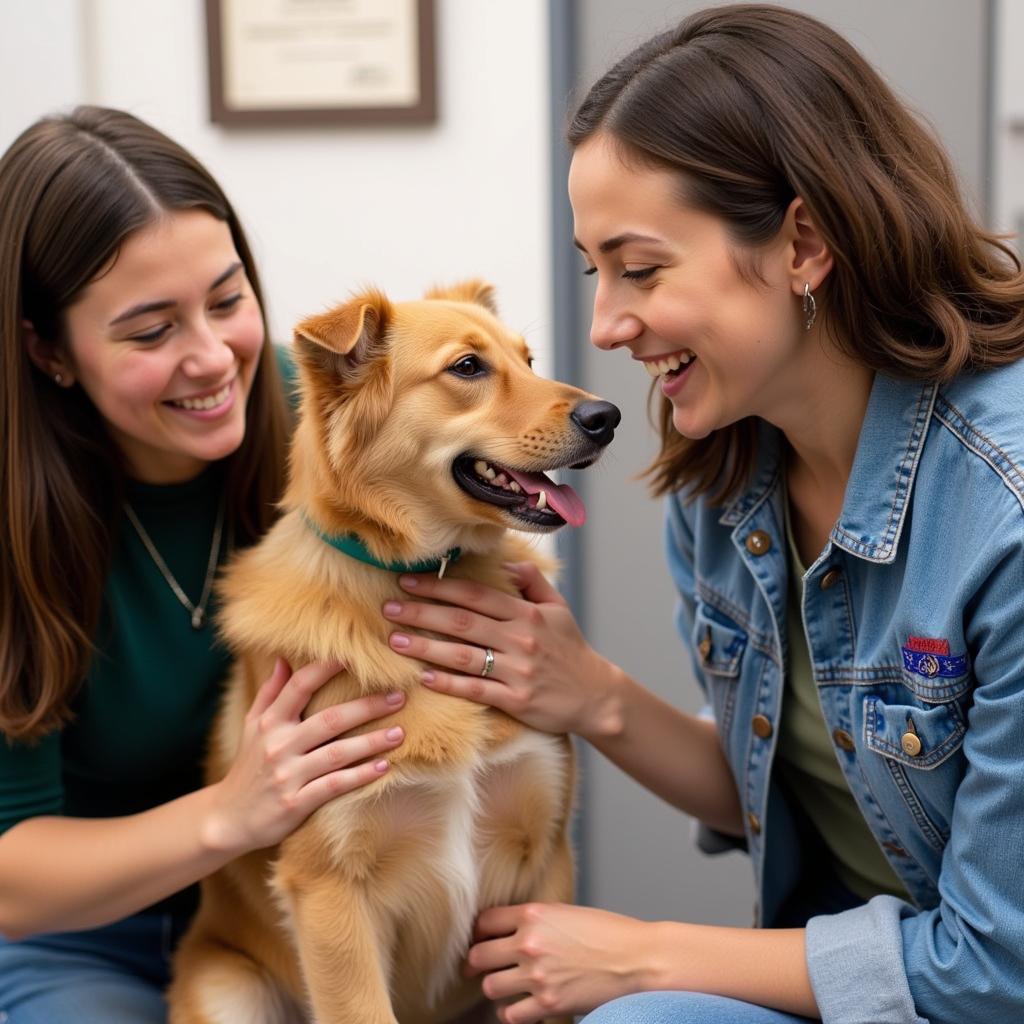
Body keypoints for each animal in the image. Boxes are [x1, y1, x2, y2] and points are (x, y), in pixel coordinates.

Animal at [164, 282, 618, 1024]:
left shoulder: (546, 865)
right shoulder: (329, 888)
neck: (427, 570)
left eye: (527, 359)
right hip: (230, 989)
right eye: (468, 367)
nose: (606, 416)